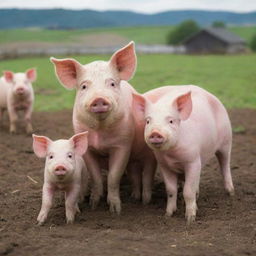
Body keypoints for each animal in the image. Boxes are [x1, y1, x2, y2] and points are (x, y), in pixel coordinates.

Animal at [50, 42, 156, 214]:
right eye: (84, 86)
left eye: (112, 83)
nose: (99, 99)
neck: (100, 132)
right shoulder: (87, 147)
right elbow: (96, 176)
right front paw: (93, 205)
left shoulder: (123, 145)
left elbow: (113, 176)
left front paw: (116, 210)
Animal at [135, 85, 235, 223]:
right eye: (148, 121)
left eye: (171, 121)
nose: (155, 132)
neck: (172, 155)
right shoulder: (164, 165)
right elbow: (171, 189)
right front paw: (168, 215)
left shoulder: (193, 161)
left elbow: (188, 190)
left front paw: (190, 219)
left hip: (226, 140)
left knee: (225, 165)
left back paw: (230, 193)